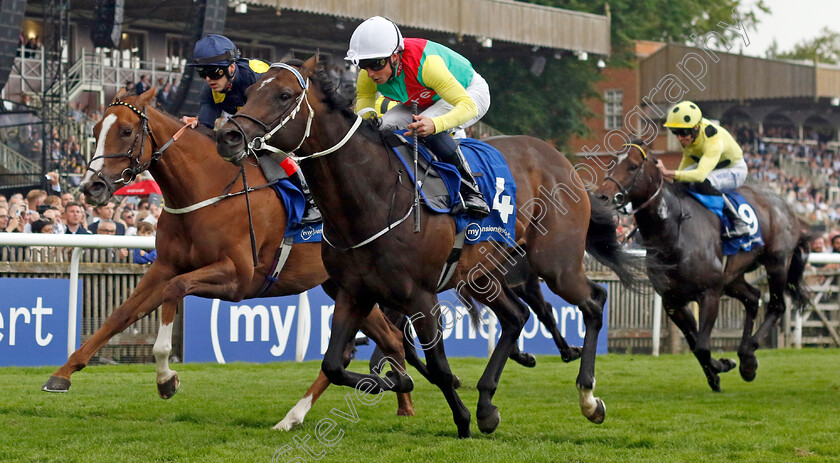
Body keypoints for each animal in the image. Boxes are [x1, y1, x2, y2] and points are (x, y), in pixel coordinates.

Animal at [40, 87, 424, 428]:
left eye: (126, 131)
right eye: (94, 131)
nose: (91, 187)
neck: (208, 190)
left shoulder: (238, 277)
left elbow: (174, 291)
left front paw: (166, 378)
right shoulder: (163, 266)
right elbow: (120, 315)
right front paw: (62, 374)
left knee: (366, 346)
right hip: (347, 287)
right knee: (389, 338)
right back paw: (400, 404)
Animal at [215, 58, 636, 438]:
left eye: (284, 95)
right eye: (248, 93)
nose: (228, 136)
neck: (372, 196)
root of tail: (562, 162)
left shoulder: (420, 296)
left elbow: (437, 367)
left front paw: (460, 420)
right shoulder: (354, 292)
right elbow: (336, 362)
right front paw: (395, 384)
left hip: (555, 263)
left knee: (593, 302)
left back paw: (588, 398)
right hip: (482, 275)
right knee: (517, 316)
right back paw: (487, 404)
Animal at [592, 143, 812, 394]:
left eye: (632, 166)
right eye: (612, 162)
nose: (601, 196)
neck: (674, 233)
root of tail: (786, 206)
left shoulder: (709, 293)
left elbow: (702, 347)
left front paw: (722, 366)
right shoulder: (673, 302)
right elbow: (695, 343)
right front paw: (718, 371)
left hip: (777, 262)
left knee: (776, 305)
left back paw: (749, 356)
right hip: (732, 277)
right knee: (753, 298)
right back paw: (745, 358)